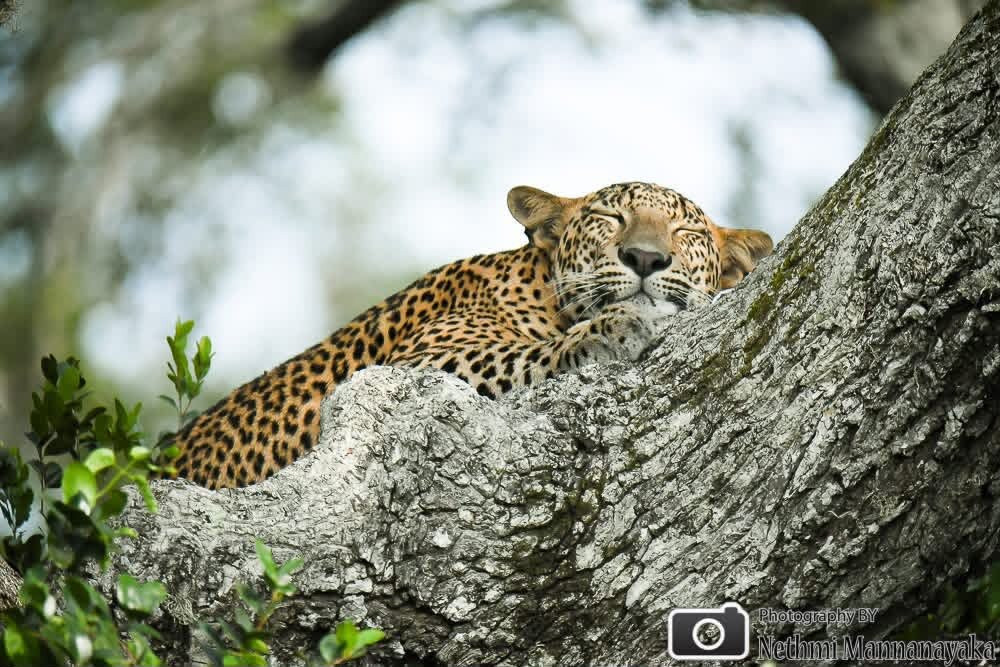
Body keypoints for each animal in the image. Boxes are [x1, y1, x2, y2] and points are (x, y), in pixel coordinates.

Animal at [166, 182, 773, 489]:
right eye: (609, 217)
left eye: (686, 230)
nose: (645, 258)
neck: (538, 287)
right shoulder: (414, 363)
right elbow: (525, 352)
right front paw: (619, 326)